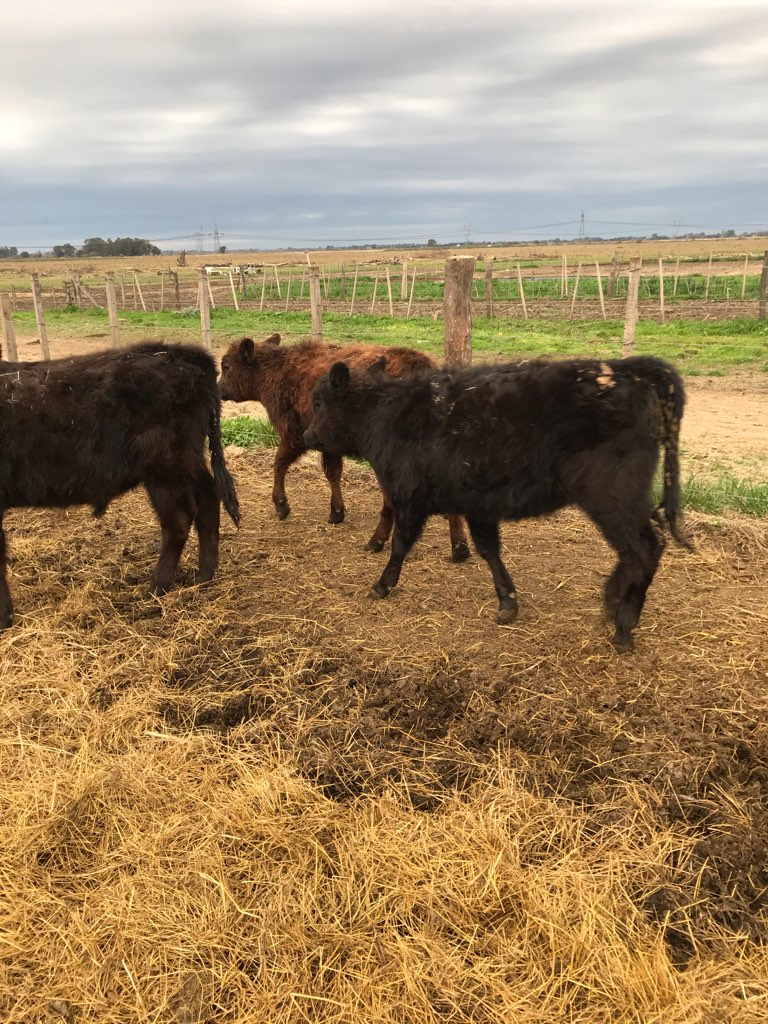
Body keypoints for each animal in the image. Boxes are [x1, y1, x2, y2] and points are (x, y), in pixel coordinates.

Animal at [0, 343, 240, 628]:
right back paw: (203, 575)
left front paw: (4, 617)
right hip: (185, 463)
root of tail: (182, 353)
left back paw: (156, 588)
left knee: (179, 520)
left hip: (164, 469)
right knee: (207, 498)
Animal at [218, 333, 470, 561]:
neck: (279, 369)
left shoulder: (294, 435)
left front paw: (282, 505)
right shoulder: (325, 443)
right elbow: (333, 473)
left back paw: (377, 541)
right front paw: (336, 512)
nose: (219, 389)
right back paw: (459, 548)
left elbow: (280, 463)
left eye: (226, 365)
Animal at [304, 355, 689, 652]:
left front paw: (382, 584)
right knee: (636, 552)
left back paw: (624, 624)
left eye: (319, 402)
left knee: (644, 549)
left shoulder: (409, 497)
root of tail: (632, 368)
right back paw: (611, 601)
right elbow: (489, 550)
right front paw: (507, 602)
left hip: (612, 496)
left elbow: (400, 544)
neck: (383, 413)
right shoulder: (477, 504)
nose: (308, 435)